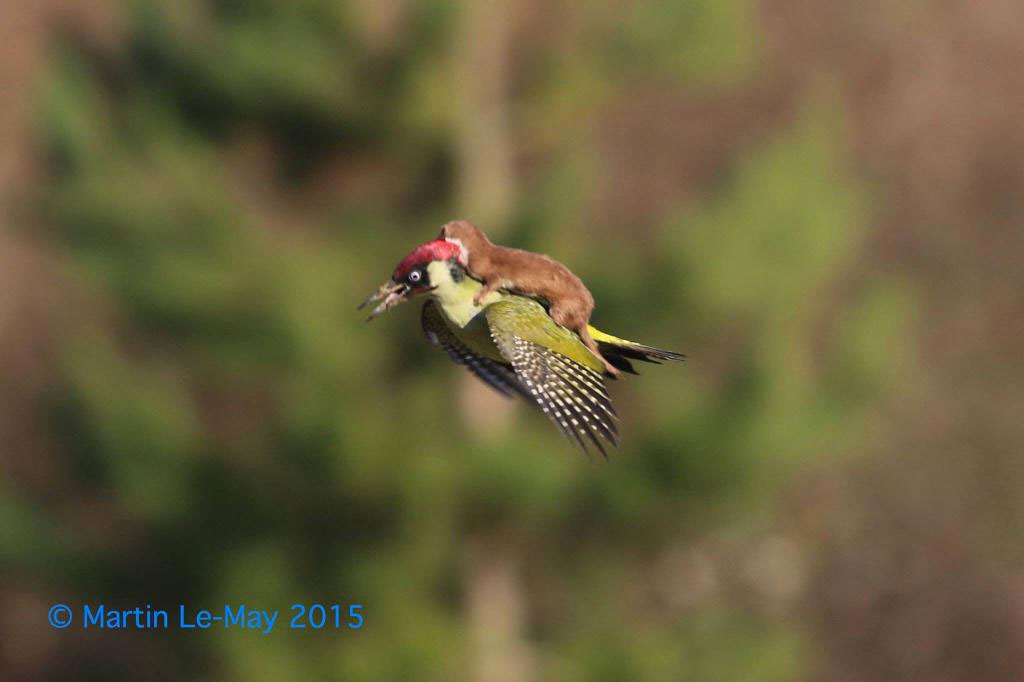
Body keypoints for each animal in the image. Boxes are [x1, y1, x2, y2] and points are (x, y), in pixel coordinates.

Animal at [436, 219, 618, 374]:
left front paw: (479, 296)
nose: (435, 238)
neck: (476, 253)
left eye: (440, 233)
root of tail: (586, 314)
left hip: (563, 306)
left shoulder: (491, 271)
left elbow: (493, 283)